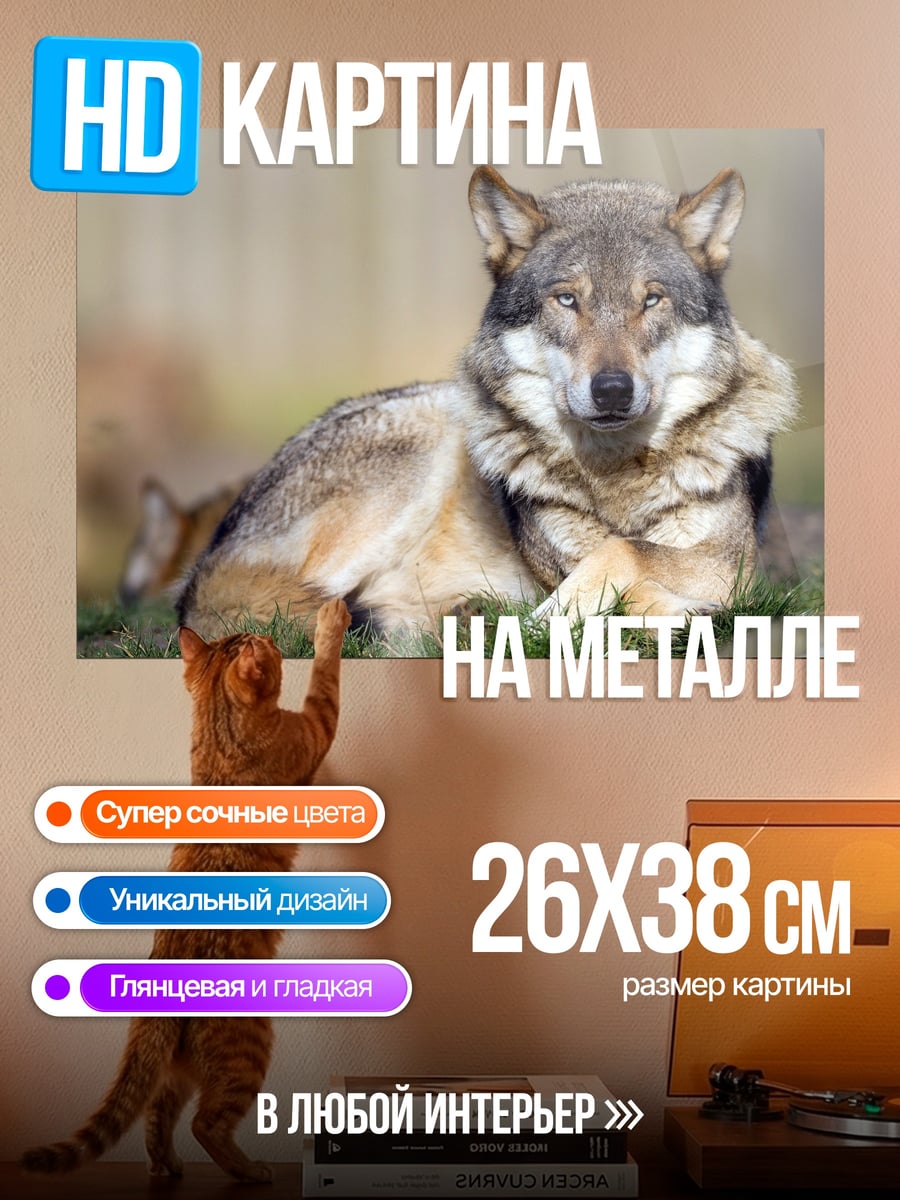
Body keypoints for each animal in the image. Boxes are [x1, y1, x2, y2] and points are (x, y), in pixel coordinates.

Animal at [177, 166, 798, 639]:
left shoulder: (733, 561)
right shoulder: (570, 561)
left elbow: (627, 554)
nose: (613, 389)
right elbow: (621, 561)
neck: (616, 475)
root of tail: (207, 557)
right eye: (566, 300)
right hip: (418, 452)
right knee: (275, 611)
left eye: (652, 300)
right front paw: (579, 616)